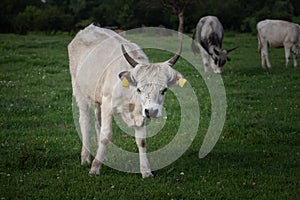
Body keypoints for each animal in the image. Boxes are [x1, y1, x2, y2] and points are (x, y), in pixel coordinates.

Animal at [68, 23, 185, 178]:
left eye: (164, 90)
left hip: (97, 97)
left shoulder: (140, 113)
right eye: (139, 89)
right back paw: (86, 157)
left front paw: (146, 171)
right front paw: (94, 168)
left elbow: (141, 141)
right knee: (85, 122)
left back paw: (102, 157)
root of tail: (88, 28)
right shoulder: (108, 105)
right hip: (80, 93)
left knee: (97, 123)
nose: (152, 111)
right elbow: (106, 135)